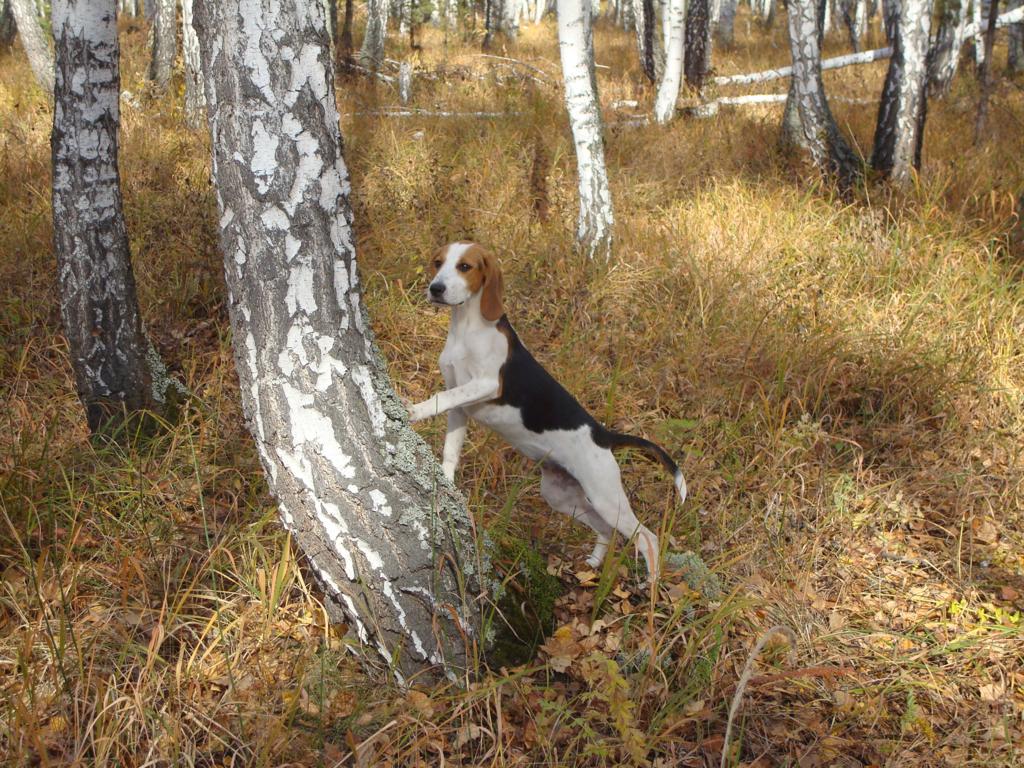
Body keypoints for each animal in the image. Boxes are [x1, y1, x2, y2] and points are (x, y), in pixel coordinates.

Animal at [407, 243, 688, 581]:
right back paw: (593, 564)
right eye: (438, 263)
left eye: (465, 266)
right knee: (605, 529)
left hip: (606, 496)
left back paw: (651, 583)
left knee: (647, 537)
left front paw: (413, 410)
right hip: (561, 494)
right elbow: (450, 449)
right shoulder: (460, 409)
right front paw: (446, 480)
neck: (466, 328)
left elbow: (440, 397)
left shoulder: (487, 384)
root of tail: (603, 434)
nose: (435, 288)